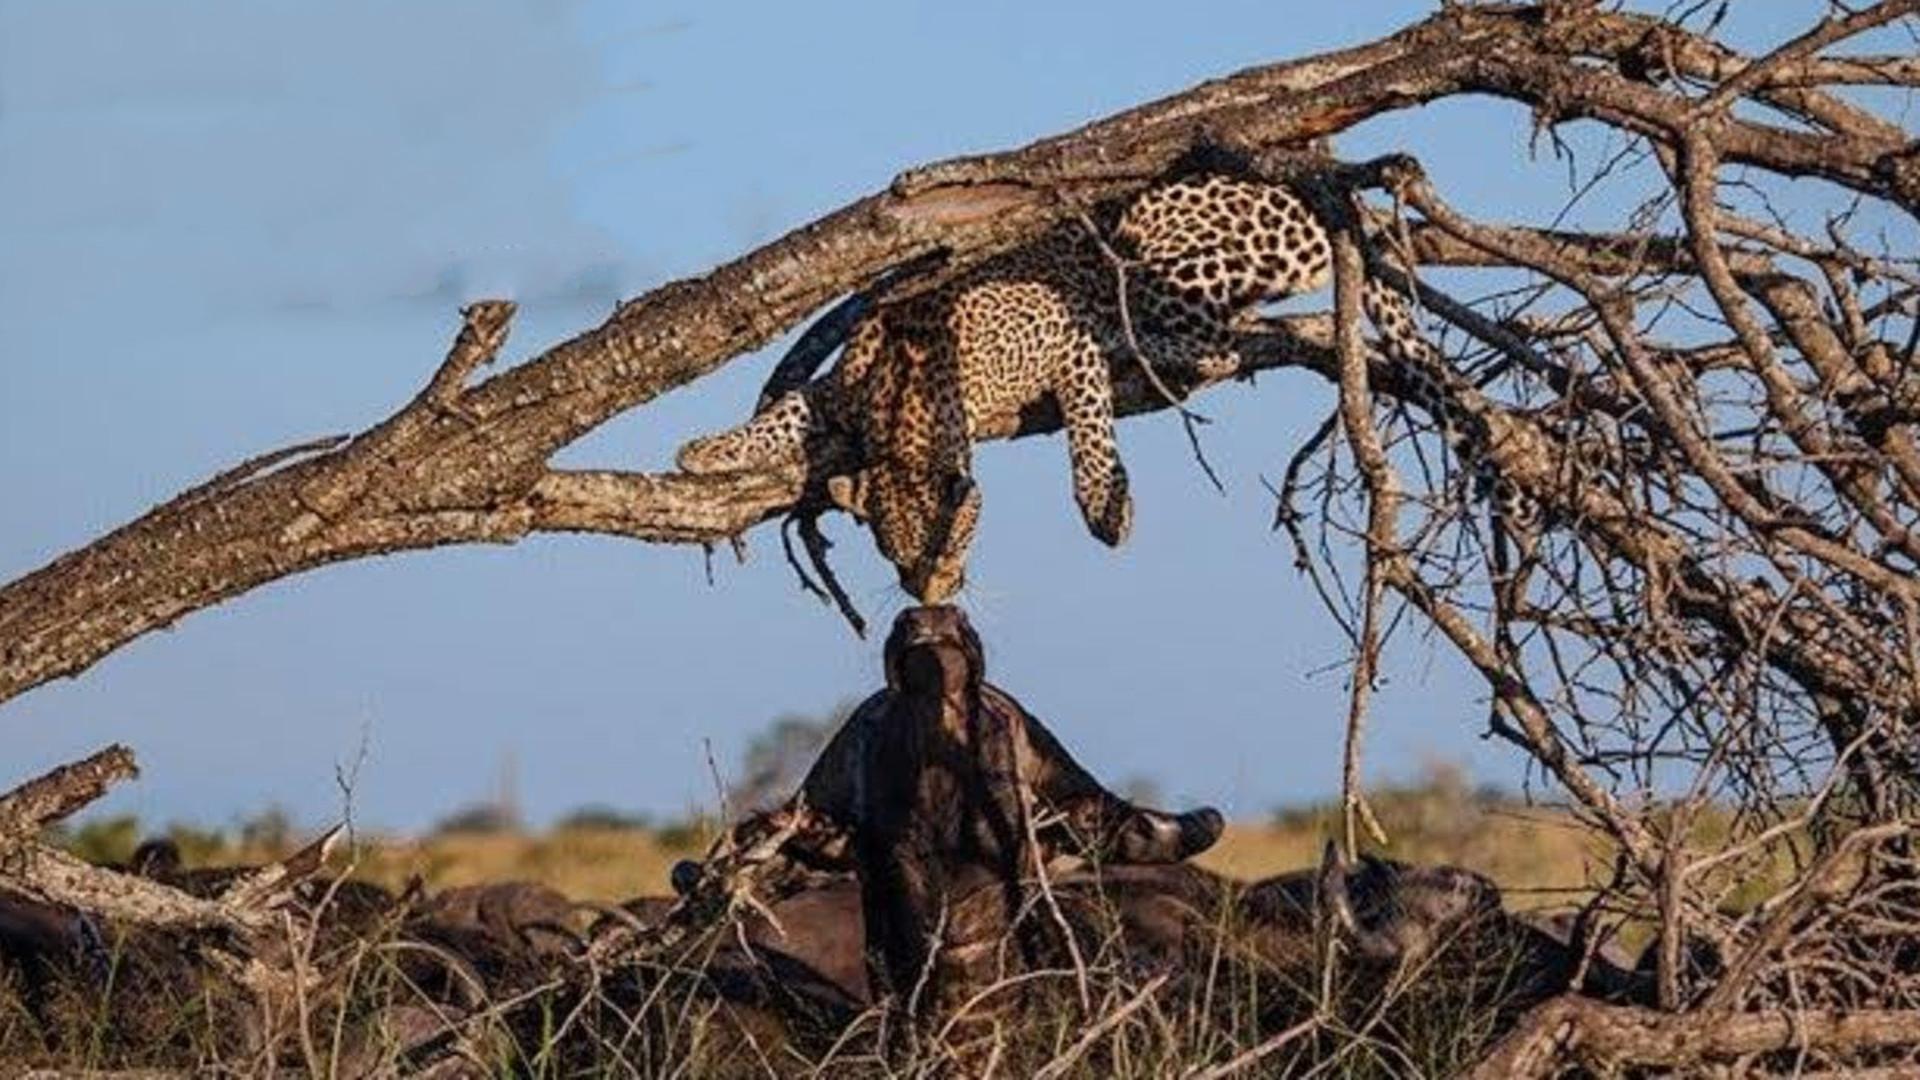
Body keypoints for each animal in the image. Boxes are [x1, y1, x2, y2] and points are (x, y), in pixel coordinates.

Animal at [683, 171, 1474, 599]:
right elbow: (789, 408)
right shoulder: (839, 393)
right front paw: (708, 451)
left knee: (1213, 334)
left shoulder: (1064, 338)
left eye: (948, 549)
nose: (931, 599)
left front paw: (1103, 505)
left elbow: (1087, 417)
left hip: (1161, 254)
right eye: (897, 559)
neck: (910, 394)